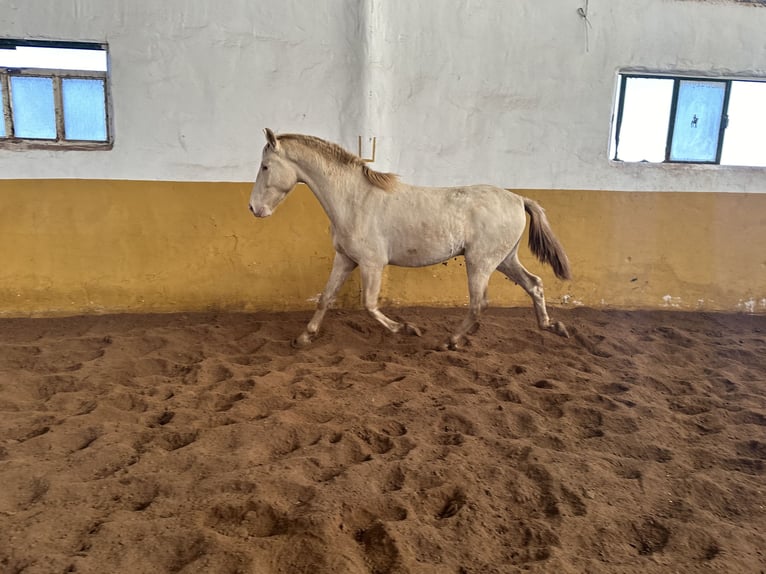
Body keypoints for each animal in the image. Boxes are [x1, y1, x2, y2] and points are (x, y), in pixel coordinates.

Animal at [249, 129, 572, 352]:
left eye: (265, 166)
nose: (253, 208)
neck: (354, 200)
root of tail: (518, 198)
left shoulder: (372, 264)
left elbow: (369, 304)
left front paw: (407, 328)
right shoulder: (346, 259)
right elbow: (326, 297)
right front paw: (304, 337)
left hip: (481, 262)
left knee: (479, 303)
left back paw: (450, 341)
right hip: (504, 259)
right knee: (534, 284)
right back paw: (553, 326)